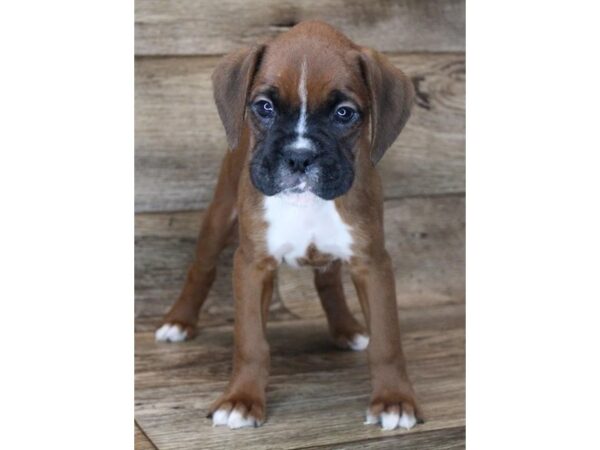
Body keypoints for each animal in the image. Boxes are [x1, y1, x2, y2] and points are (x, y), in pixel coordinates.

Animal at [155, 20, 421, 431]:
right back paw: (178, 322)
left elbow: (387, 341)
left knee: (328, 282)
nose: (299, 156)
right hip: (218, 218)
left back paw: (346, 329)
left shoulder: (372, 263)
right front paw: (241, 399)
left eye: (344, 113)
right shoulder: (252, 265)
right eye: (264, 107)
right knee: (201, 269)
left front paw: (394, 399)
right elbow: (251, 342)